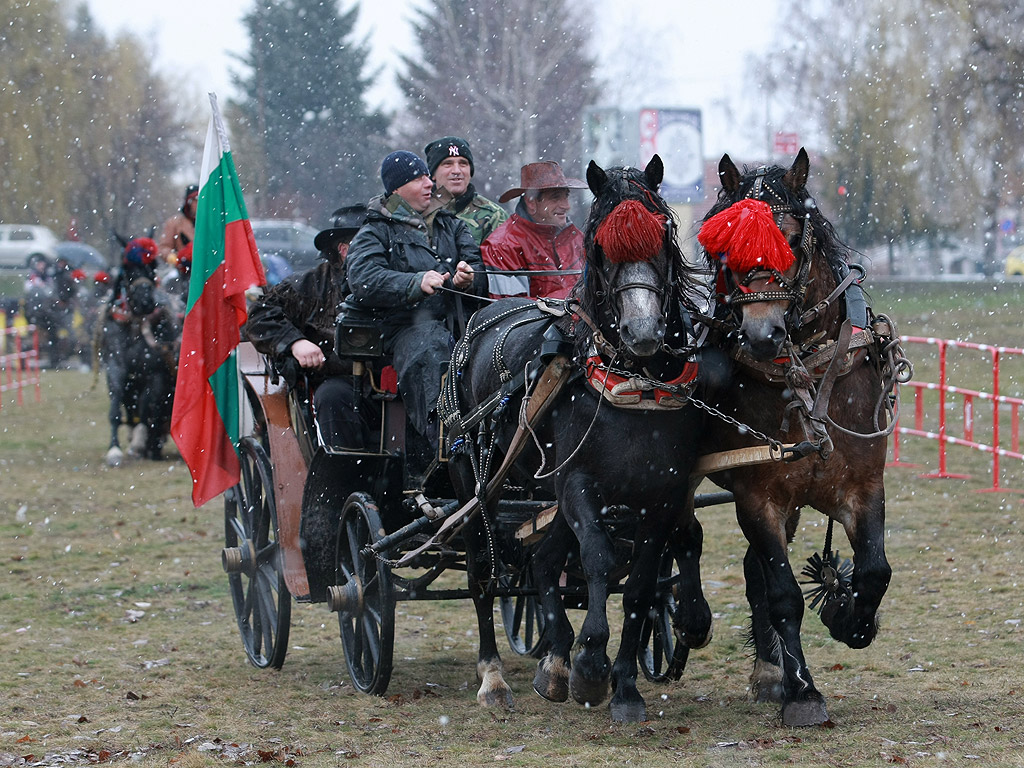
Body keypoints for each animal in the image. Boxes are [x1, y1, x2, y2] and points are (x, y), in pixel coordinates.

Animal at [95, 276, 181, 468]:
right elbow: (116, 410)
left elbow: (146, 410)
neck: (136, 325)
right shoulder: (116, 369)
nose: (146, 303)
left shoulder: (155, 375)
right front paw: (114, 451)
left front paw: (140, 445)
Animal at [444, 154, 716, 720]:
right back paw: (494, 675)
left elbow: (639, 586)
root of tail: (481, 315)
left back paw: (553, 660)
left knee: (545, 559)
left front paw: (625, 686)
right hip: (476, 480)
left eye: (664, 234)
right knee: (483, 569)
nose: (643, 332)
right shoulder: (577, 484)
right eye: (600, 246)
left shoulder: (662, 494)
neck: (635, 387)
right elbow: (599, 558)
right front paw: (591, 662)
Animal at [696, 148, 905, 729]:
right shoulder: (758, 498)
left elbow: (875, 570)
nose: (762, 335)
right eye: (725, 245)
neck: (806, 380)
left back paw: (770, 668)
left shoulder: (863, 486)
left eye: (789, 237)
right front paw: (804, 692)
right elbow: (785, 593)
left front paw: (848, 617)